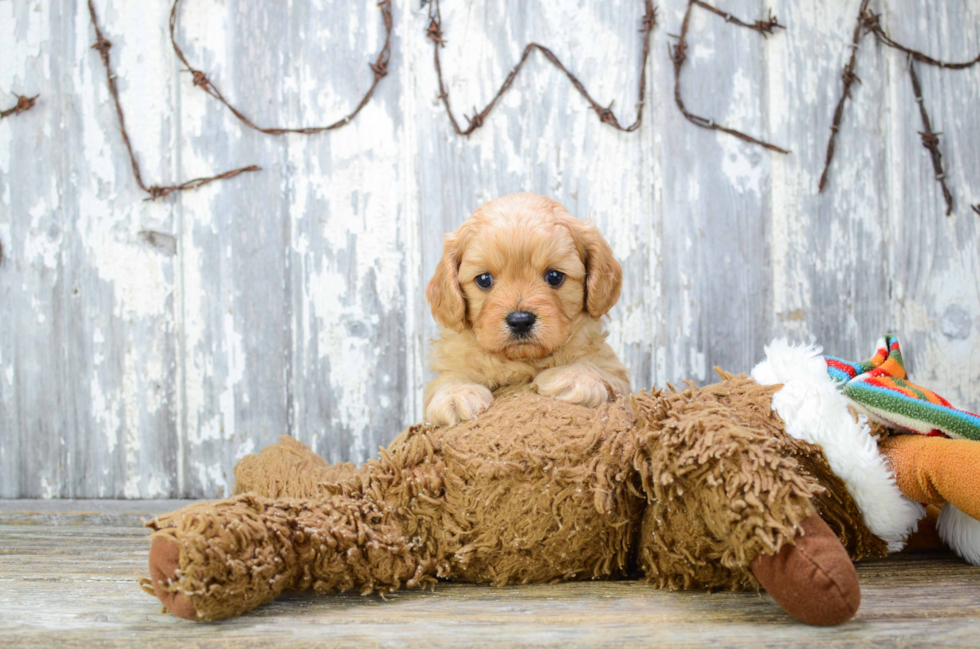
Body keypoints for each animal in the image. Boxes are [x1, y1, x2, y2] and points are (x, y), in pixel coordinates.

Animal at [424, 191, 632, 426]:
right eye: (484, 279)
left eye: (554, 276)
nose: (520, 320)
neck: (524, 360)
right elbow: (449, 379)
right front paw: (456, 394)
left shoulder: (617, 374)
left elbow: (595, 367)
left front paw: (574, 376)